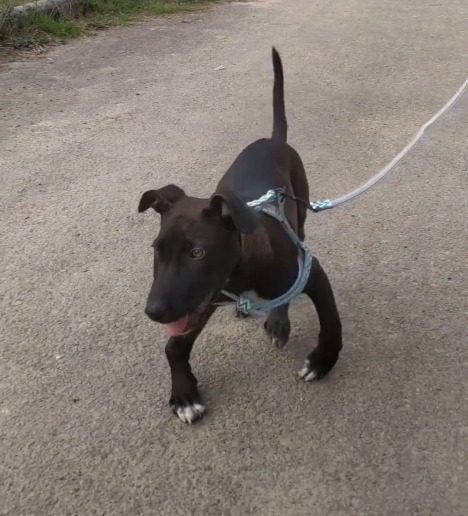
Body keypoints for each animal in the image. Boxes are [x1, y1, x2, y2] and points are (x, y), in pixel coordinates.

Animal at [137, 48, 342, 424]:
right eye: (157, 249)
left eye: (197, 253)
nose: (154, 312)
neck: (242, 271)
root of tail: (273, 139)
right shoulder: (203, 300)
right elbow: (174, 345)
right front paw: (183, 395)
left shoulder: (311, 270)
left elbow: (331, 320)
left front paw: (321, 362)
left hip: (301, 215)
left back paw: (278, 321)